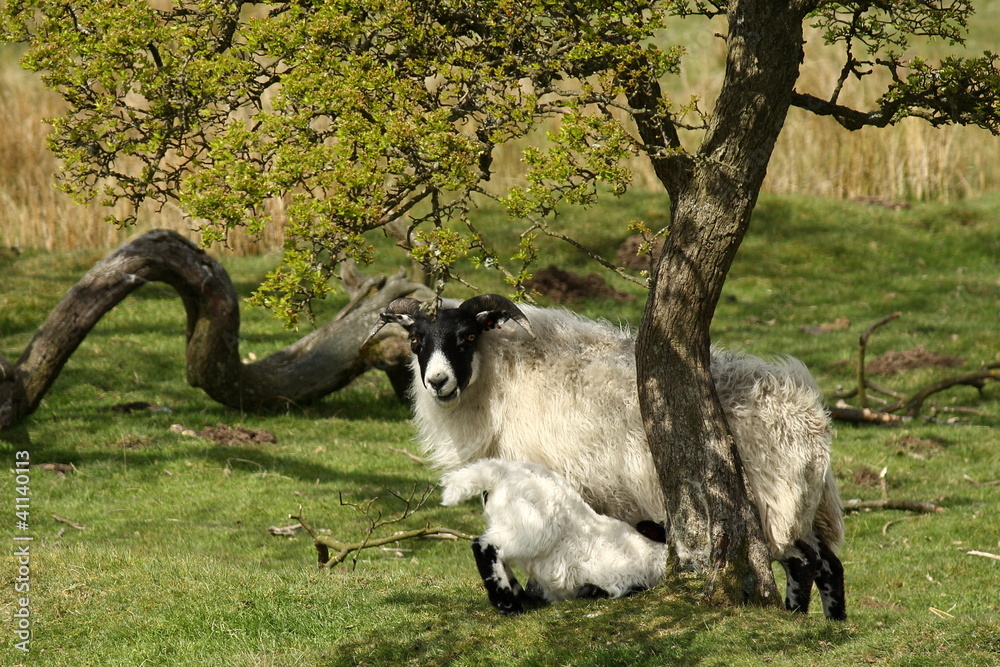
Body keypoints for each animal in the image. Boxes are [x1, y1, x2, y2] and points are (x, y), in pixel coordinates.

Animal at [440, 458, 668, 614]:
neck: (651, 548)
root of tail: (500, 472)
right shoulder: (622, 575)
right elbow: (614, 589)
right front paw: (589, 592)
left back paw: (522, 598)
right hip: (529, 527)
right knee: (486, 545)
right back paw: (507, 603)